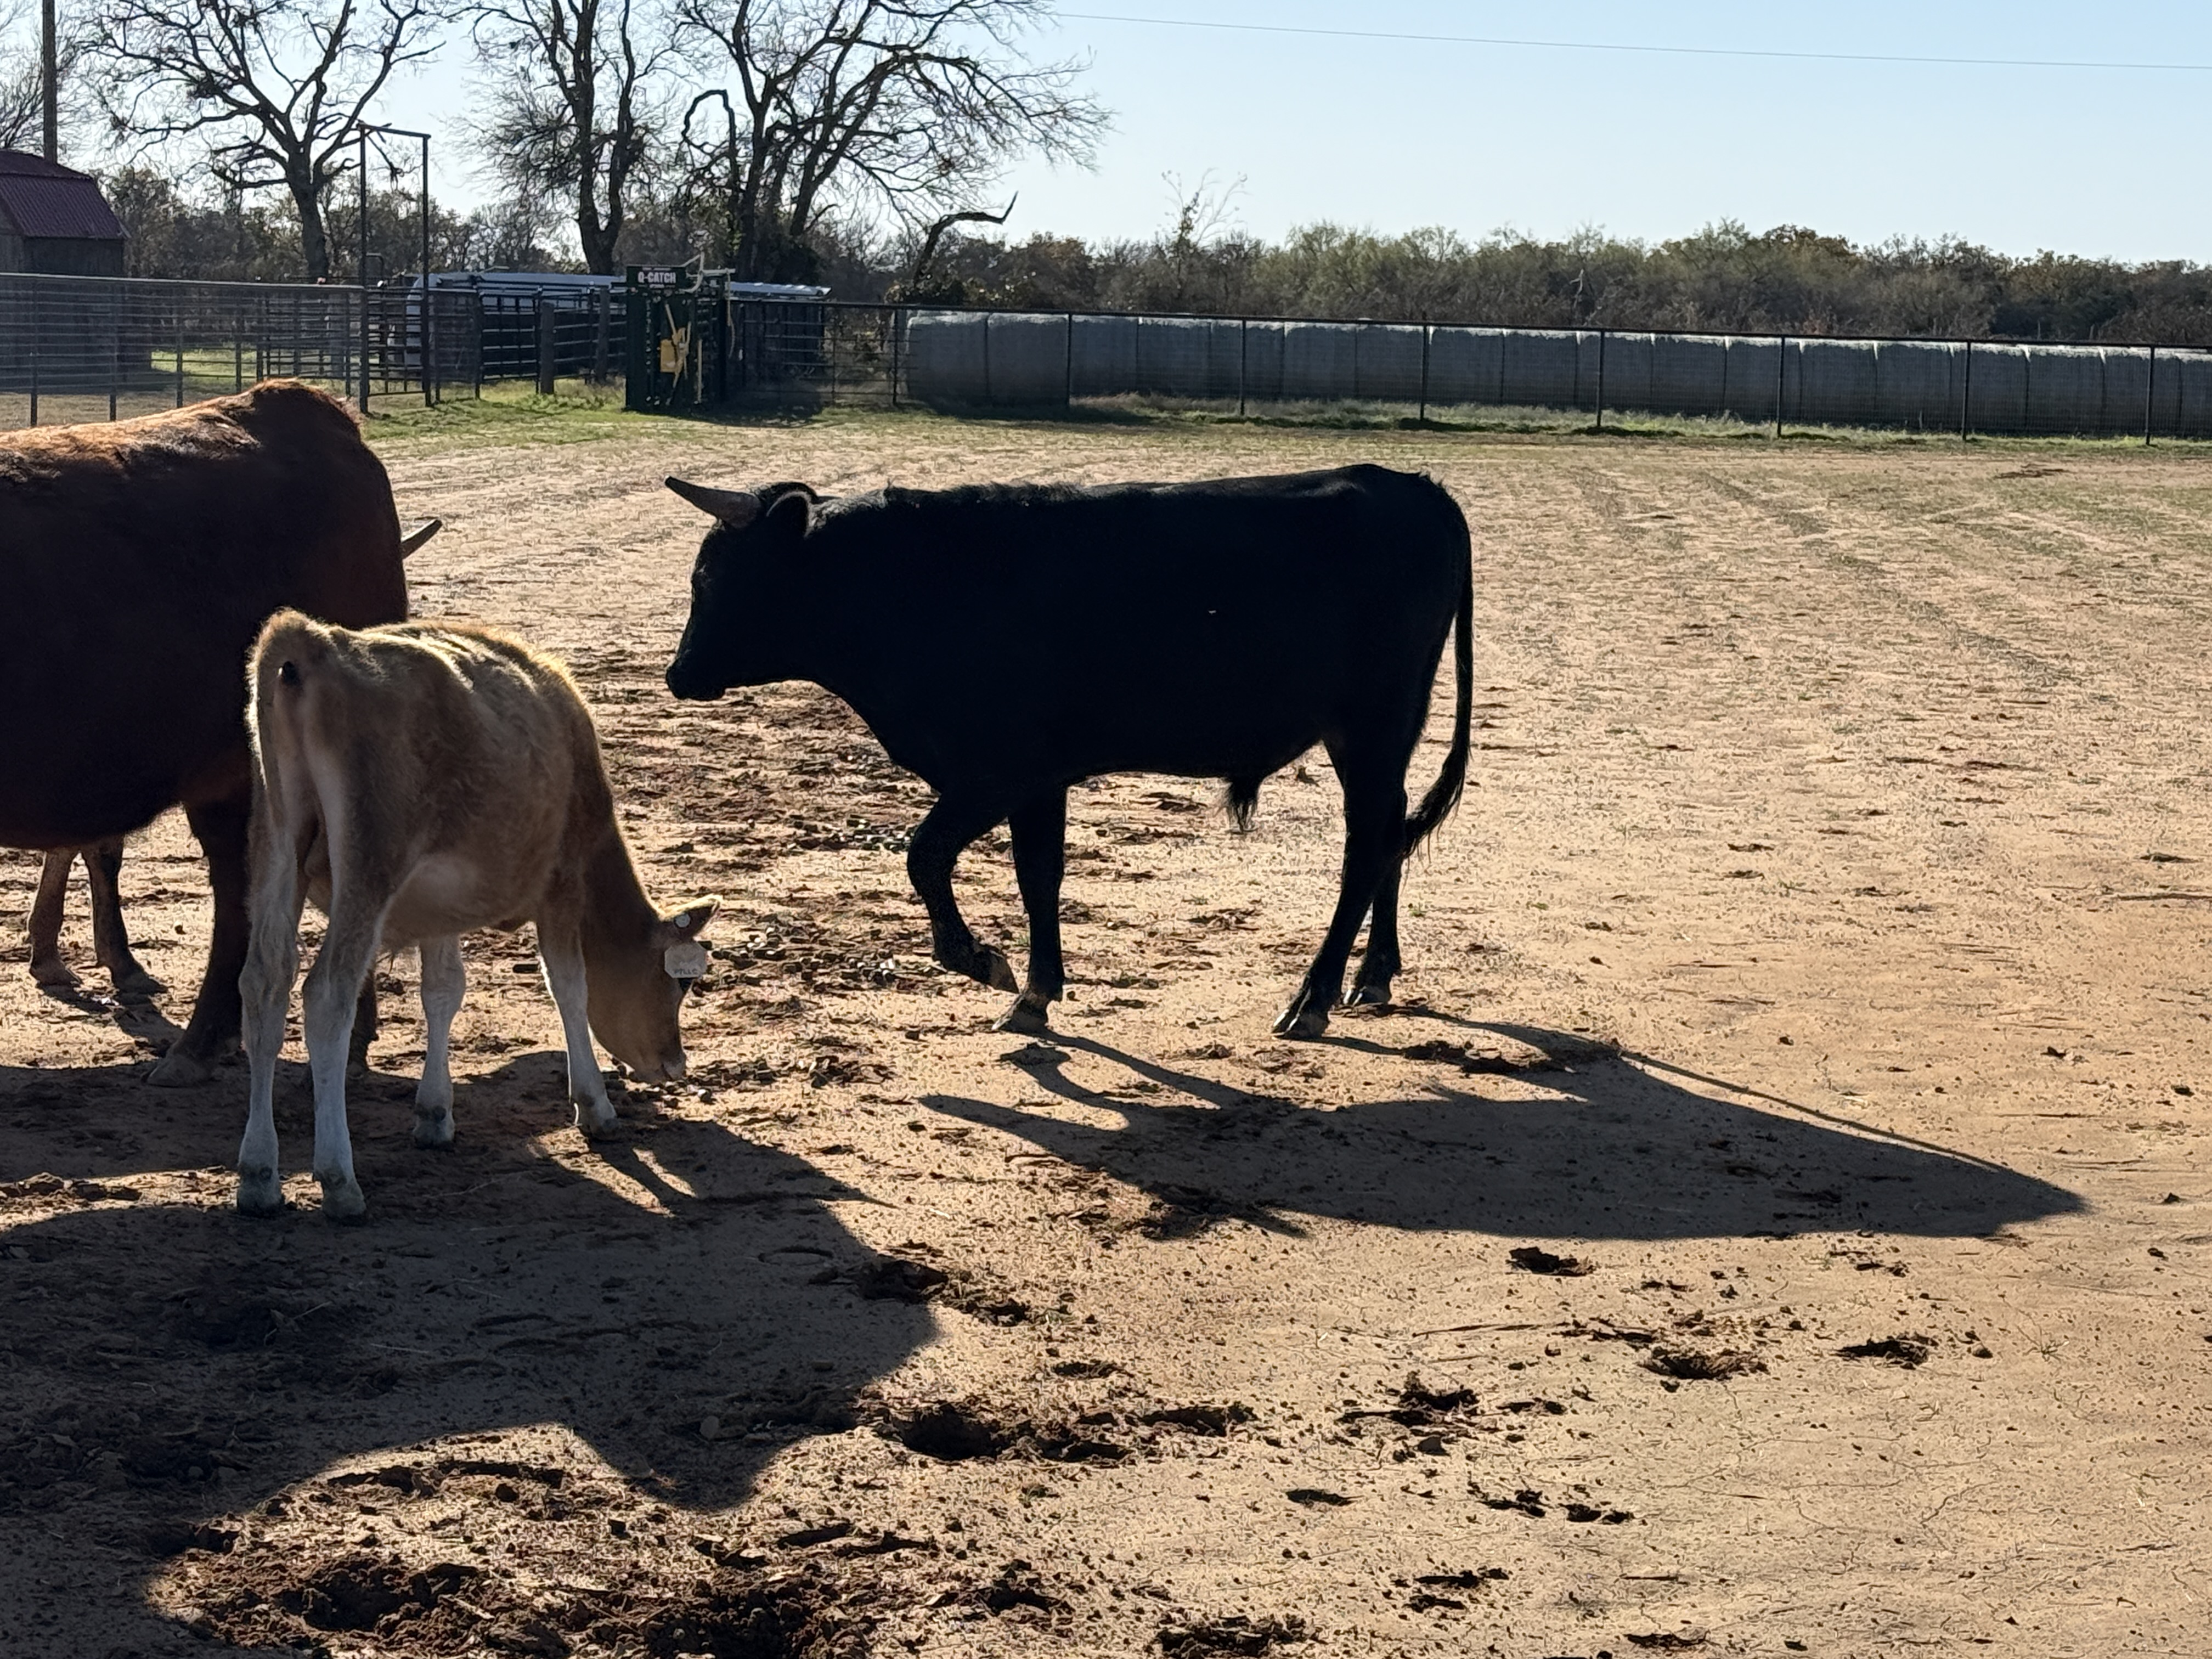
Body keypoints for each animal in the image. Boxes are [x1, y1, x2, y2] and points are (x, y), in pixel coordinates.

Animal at [236, 612, 719, 1220]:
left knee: (264, 986)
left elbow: (443, 991)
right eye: (678, 984)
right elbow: (570, 987)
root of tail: (316, 641)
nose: (676, 1065)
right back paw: (338, 1178)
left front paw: (435, 1112)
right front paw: (595, 1106)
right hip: (370, 862)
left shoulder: (440, 908)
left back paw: (258, 1174)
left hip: (275, 846)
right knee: (327, 996)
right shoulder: (563, 883)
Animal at [662, 463, 1472, 1039]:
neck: (918, 583)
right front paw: (1035, 993)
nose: (678, 674)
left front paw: (981, 963)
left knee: (1367, 847)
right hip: (1372, 741)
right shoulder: (1038, 780)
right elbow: (1038, 876)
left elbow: (925, 855)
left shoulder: (998, 770)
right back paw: (1374, 974)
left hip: (1372, 728)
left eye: (714, 578)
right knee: (1391, 832)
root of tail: (1413, 486)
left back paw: (1313, 998)